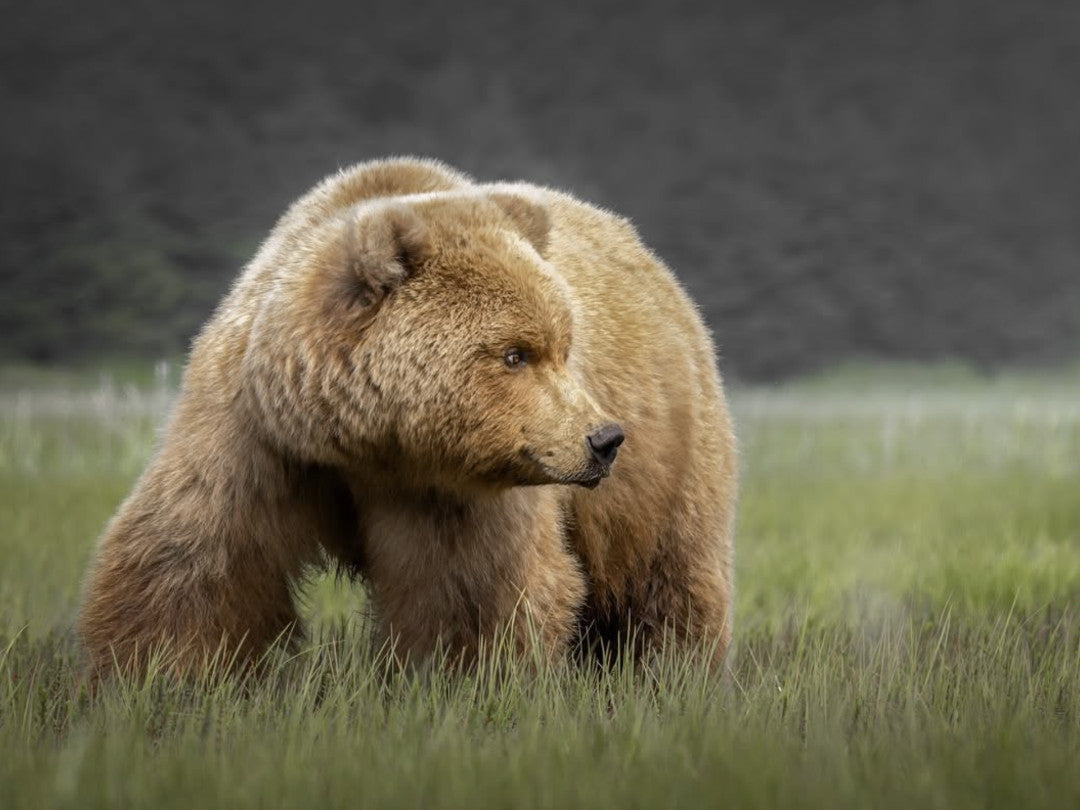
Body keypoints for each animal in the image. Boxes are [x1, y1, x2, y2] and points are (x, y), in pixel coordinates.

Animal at [78, 157, 738, 678]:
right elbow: (194, 560)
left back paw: (672, 674)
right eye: (515, 353)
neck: (362, 441)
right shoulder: (257, 433)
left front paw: (464, 683)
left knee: (668, 577)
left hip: (671, 457)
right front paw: (153, 680)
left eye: (563, 348)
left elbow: (472, 591)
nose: (603, 438)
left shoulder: (453, 490)